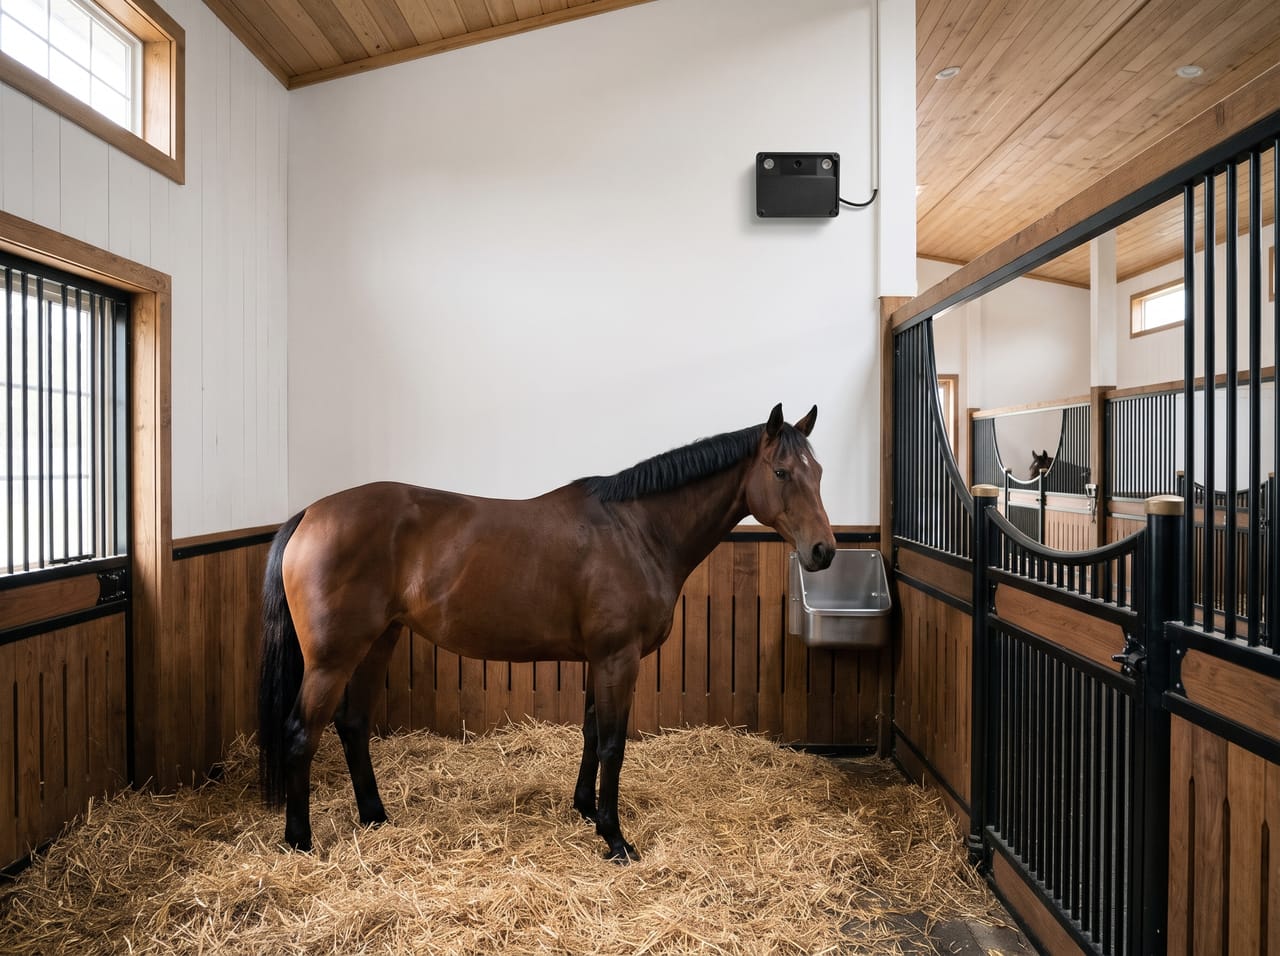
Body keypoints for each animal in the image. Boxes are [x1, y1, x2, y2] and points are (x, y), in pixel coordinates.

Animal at [258, 404, 836, 862]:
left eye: (820, 472)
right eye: (782, 472)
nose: (823, 551)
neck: (636, 531)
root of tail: (310, 514)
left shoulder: (599, 659)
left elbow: (591, 732)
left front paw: (586, 811)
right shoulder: (618, 657)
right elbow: (613, 744)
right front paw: (615, 838)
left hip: (379, 641)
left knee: (353, 724)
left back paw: (375, 817)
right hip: (333, 658)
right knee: (302, 733)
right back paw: (300, 841)